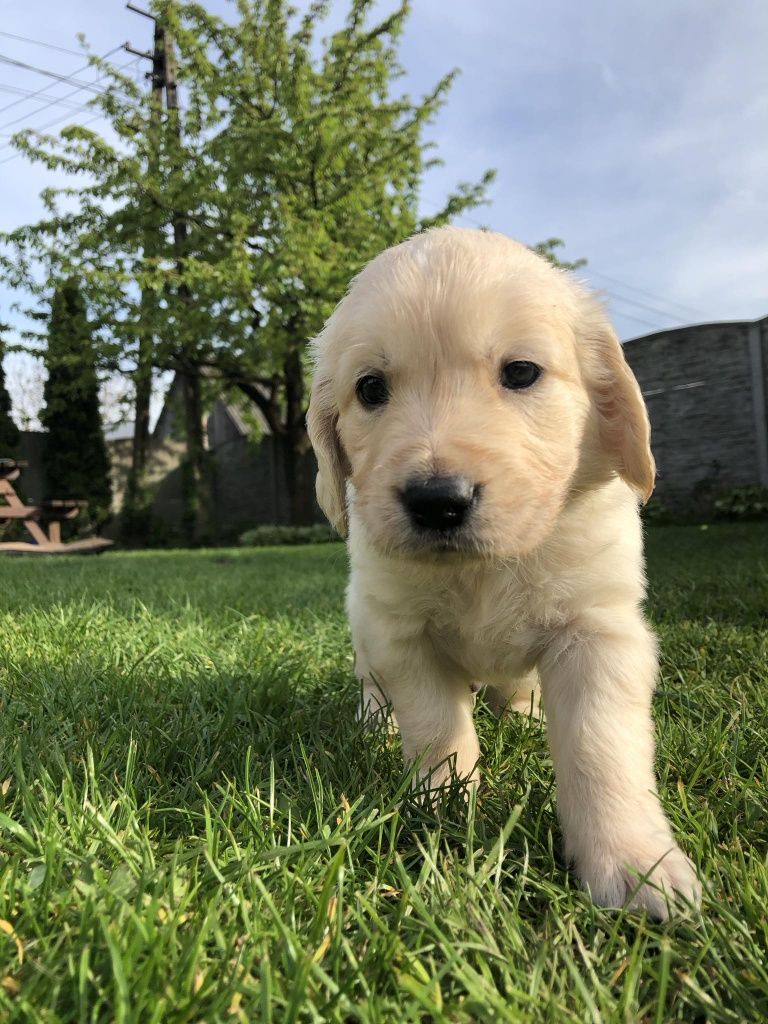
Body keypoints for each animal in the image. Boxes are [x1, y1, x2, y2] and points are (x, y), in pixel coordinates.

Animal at [307, 228, 704, 917]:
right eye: (371, 389)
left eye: (521, 372)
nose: (438, 501)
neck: (484, 569)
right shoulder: (402, 632)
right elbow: (436, 725)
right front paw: (444, 805)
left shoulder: (597, 632)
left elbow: (600, 746)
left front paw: (635, 866)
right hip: (364, 622)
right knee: (374, 687)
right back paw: (375, 728)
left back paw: (523, 714)